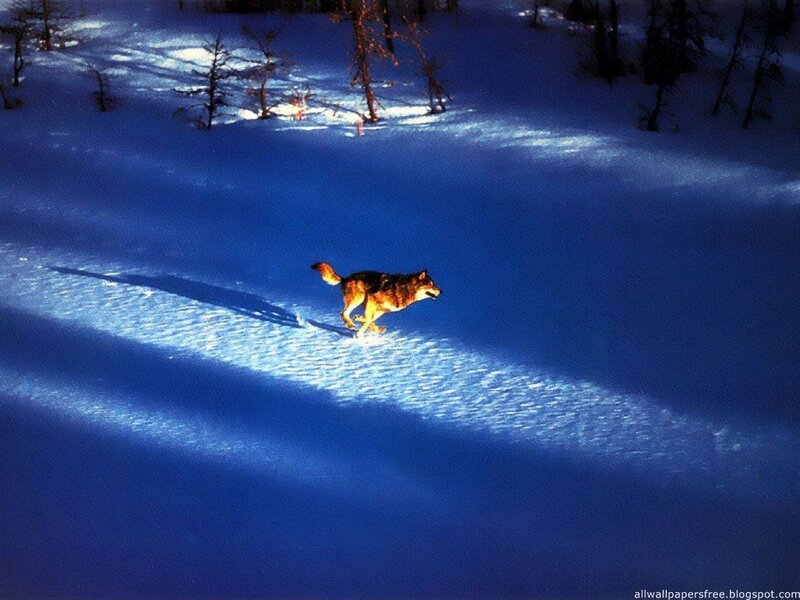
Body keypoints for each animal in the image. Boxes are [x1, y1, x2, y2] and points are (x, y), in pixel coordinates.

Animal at [311, 262, 441, 338]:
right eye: (431, 285)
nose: (441, 291)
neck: (403, 289)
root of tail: (345, 278)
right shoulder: (372, 299)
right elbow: (368, 319)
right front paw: (359, 325)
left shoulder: (383, 309)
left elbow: (370, 320)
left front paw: (362, 332)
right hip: (359, 298)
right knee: (343, 313)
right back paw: (350, 324)